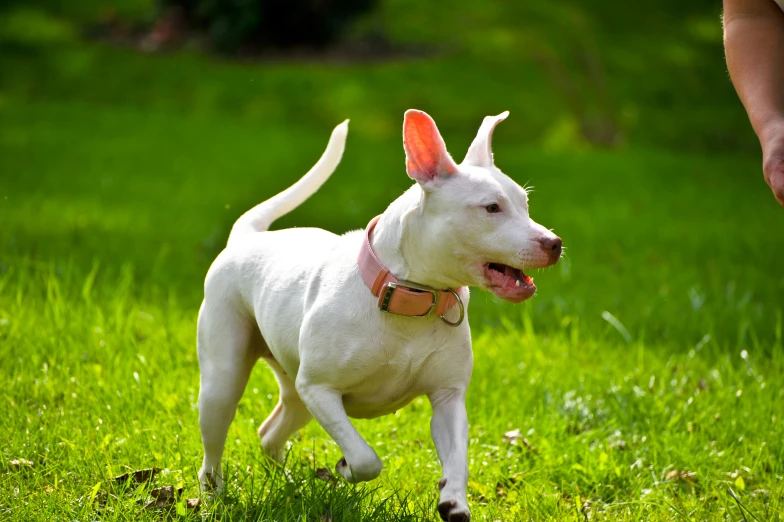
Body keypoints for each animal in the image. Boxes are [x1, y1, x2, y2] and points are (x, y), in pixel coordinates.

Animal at [196, 108, 564, 516]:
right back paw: (213, 497)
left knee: (269, 434)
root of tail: (248, 238)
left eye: (525, 204)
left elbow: (457, 457)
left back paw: (289, 486)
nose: (554, 243)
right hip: (225, 382)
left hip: (296, 393)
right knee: (214, 446)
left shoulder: (448, 399)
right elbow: (365, 458)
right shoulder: (320, 389)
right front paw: (344, 466)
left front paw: (453, 500)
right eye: (491, 208)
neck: (410, 299)